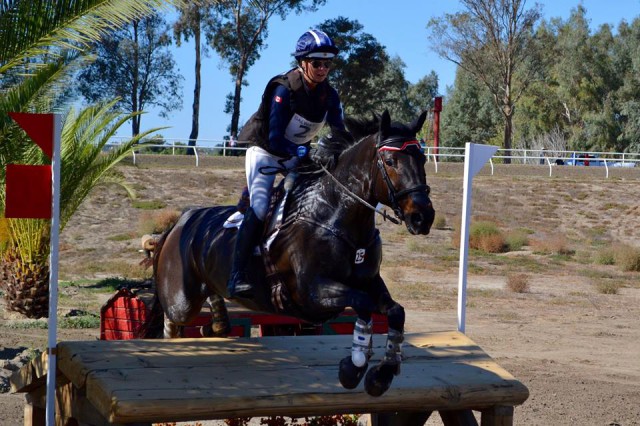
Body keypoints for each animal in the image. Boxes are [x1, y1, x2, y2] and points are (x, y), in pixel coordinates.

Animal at [150, 110, 436, 396]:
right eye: (390, 161)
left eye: (422, 158)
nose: (423, 217)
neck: (335, 214)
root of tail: (181, 220)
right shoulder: (311, 291)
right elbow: (363, 304)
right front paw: (352, 368)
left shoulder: (370, 281)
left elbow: (396, 311)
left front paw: (382, 374)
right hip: (181, 302)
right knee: (173, 322)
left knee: (212, 314)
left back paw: (216, 323)